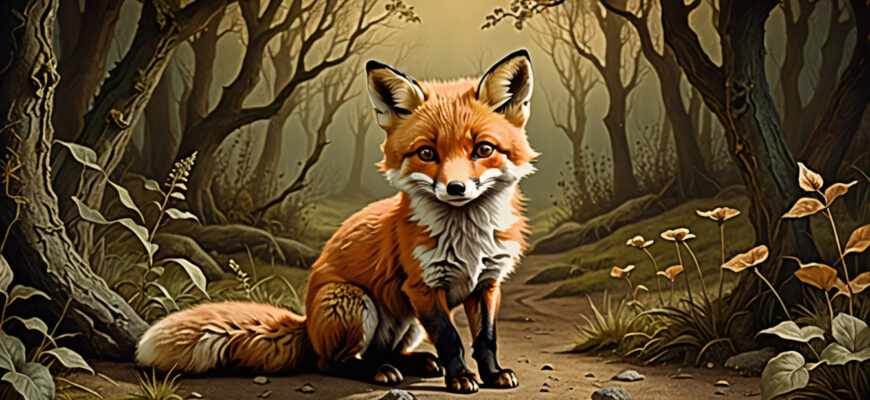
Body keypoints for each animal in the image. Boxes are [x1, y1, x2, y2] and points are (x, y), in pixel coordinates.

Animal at [135, 49, 537, 394]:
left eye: (483, 149)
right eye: (427, 153)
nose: (456, 188)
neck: (469, 240)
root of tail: (307, 326)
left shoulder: (487, 283)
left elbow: (485, 339)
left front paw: (492, 374)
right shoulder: (423, 286)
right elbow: (451, 339)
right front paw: (461, 378)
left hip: (406, 322)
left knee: (384, 352)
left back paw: (413, 363)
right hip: (351, 300)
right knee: (333, 362)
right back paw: (378, 372)